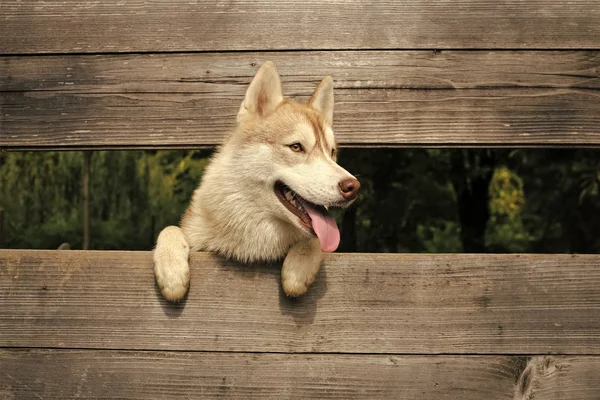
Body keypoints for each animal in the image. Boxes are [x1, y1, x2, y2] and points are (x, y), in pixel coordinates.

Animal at [155, 61, 360, 300]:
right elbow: (169, 229)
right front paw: (171, 271)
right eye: (296, 147)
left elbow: (314, 240)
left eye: (332, 152)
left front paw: (297, 268)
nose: (353, 187)